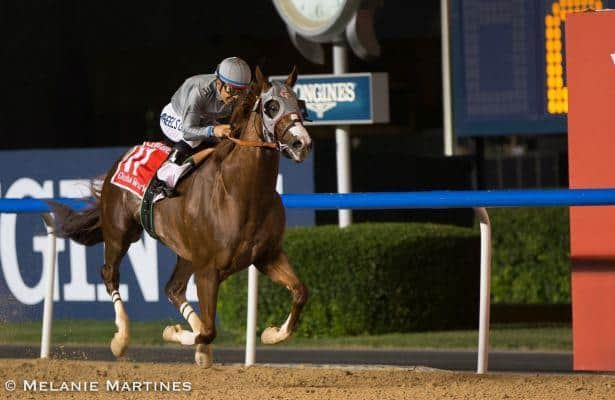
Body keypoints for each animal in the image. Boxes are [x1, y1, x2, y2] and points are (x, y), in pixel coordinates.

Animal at [49, 67, 312, 368]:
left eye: (299, 104)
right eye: (271, 106)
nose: (301, 143)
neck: (241, 193)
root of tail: (121, 160)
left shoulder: (267, 256)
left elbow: (300, 292)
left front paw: (270, 333)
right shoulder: (209, 270)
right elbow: (208, 330)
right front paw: (173, 332)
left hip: (186, 252)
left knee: (173, 289)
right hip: (119, 233)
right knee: (110, 275)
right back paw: (121, 339)